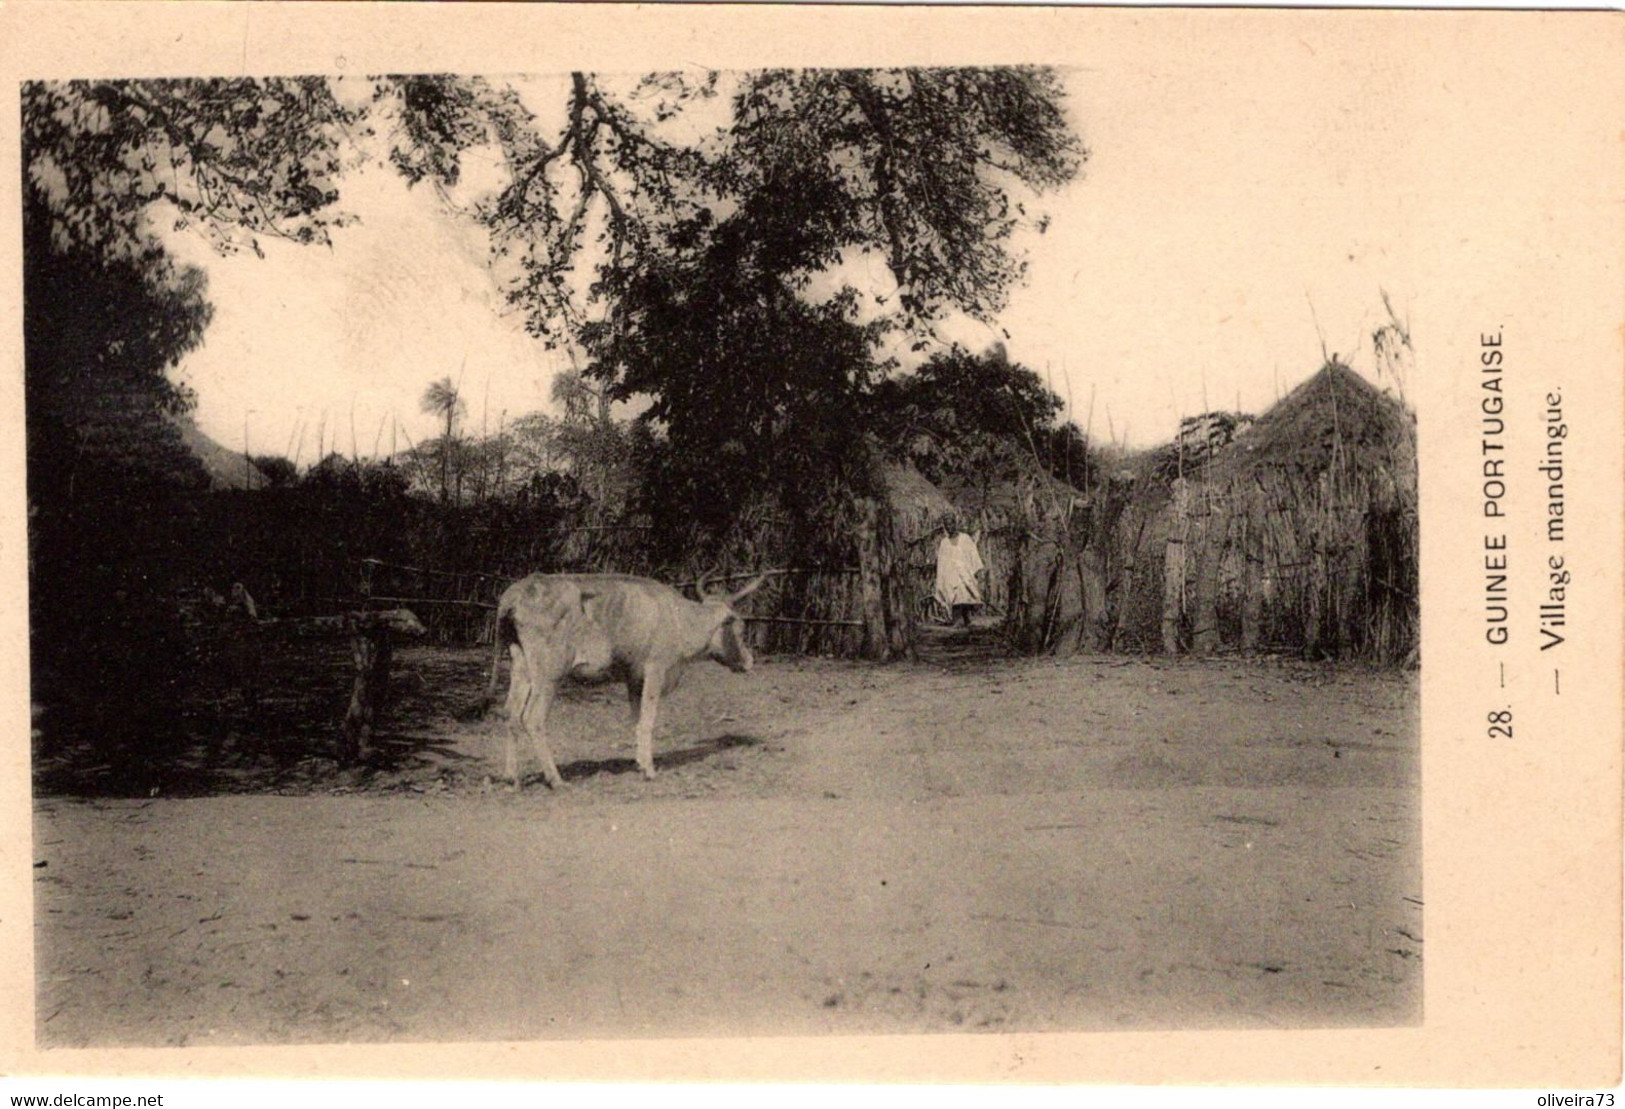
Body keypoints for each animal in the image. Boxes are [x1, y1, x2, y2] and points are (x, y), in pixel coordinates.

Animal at [484, 569, 763, 787]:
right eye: (741, 627)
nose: (749, 661)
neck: (678, 617)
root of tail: (520, 590)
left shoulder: (633, 678)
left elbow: (636, 720)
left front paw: (639, 763)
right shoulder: (655, 670)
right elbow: (648, 720)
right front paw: (649, 770)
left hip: (521, 667)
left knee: (510, 713)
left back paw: (511, 776)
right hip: (549, 674)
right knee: (533, 718)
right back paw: (556, 779)